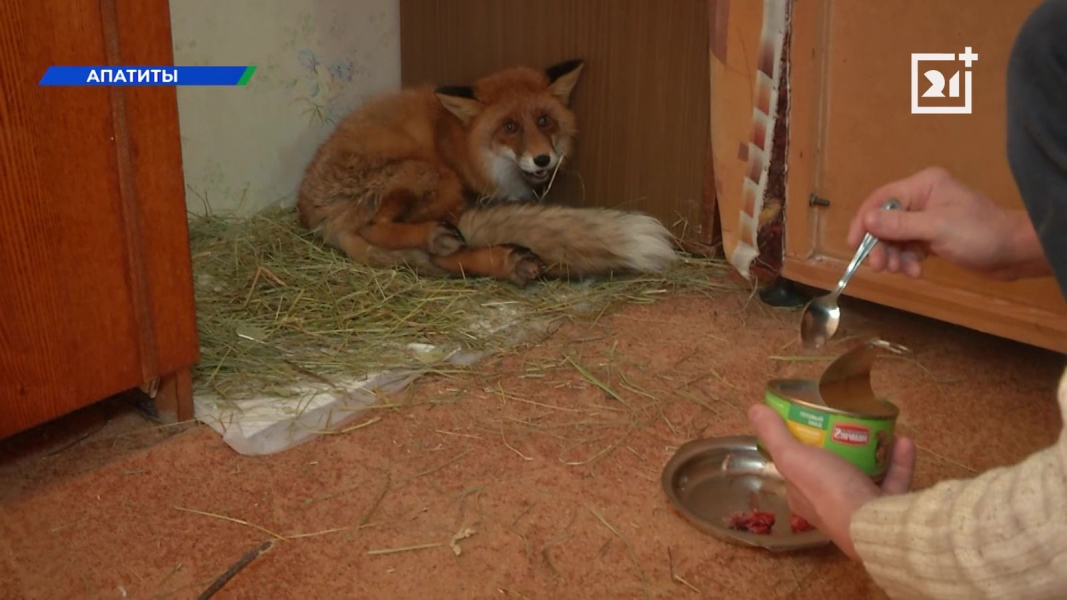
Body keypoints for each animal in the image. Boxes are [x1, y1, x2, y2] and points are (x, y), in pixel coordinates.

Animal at [296, 59, 678, 287]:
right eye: (509, 127)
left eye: (544, 120)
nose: (543, 160)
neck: (459, 140)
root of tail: (316, 217)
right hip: (435, 178)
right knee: (382, 228)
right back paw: (440, 237)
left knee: (443, 258)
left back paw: (505, 263)